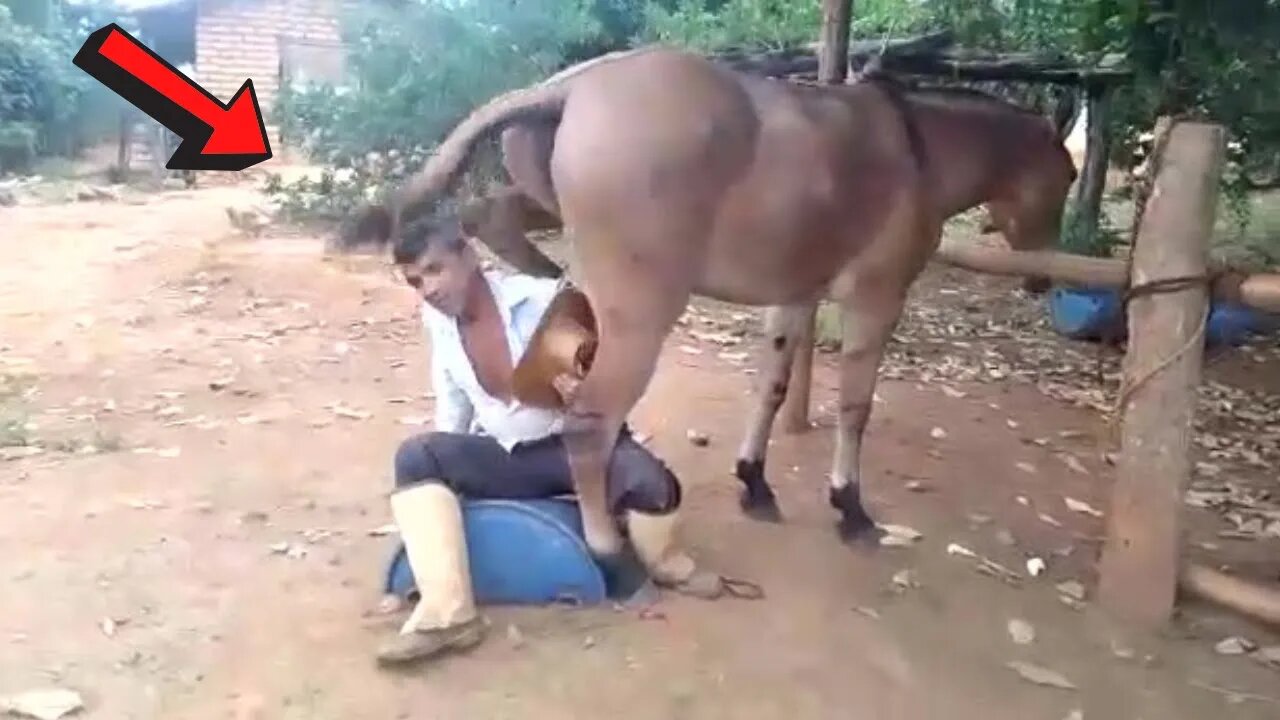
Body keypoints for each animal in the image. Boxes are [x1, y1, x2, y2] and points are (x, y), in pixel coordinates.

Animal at [343, 46, 1080, 576]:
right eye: (1070, 175)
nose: (1043, 279)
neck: (918, 145)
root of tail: (569, 88)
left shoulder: (796, 294)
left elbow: (772, 385)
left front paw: (756, 482)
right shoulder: (876, 297)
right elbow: (855, 407)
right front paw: (849, 506)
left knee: (492, 218)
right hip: (642, 312)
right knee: (588, 423)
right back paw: (606, 546)